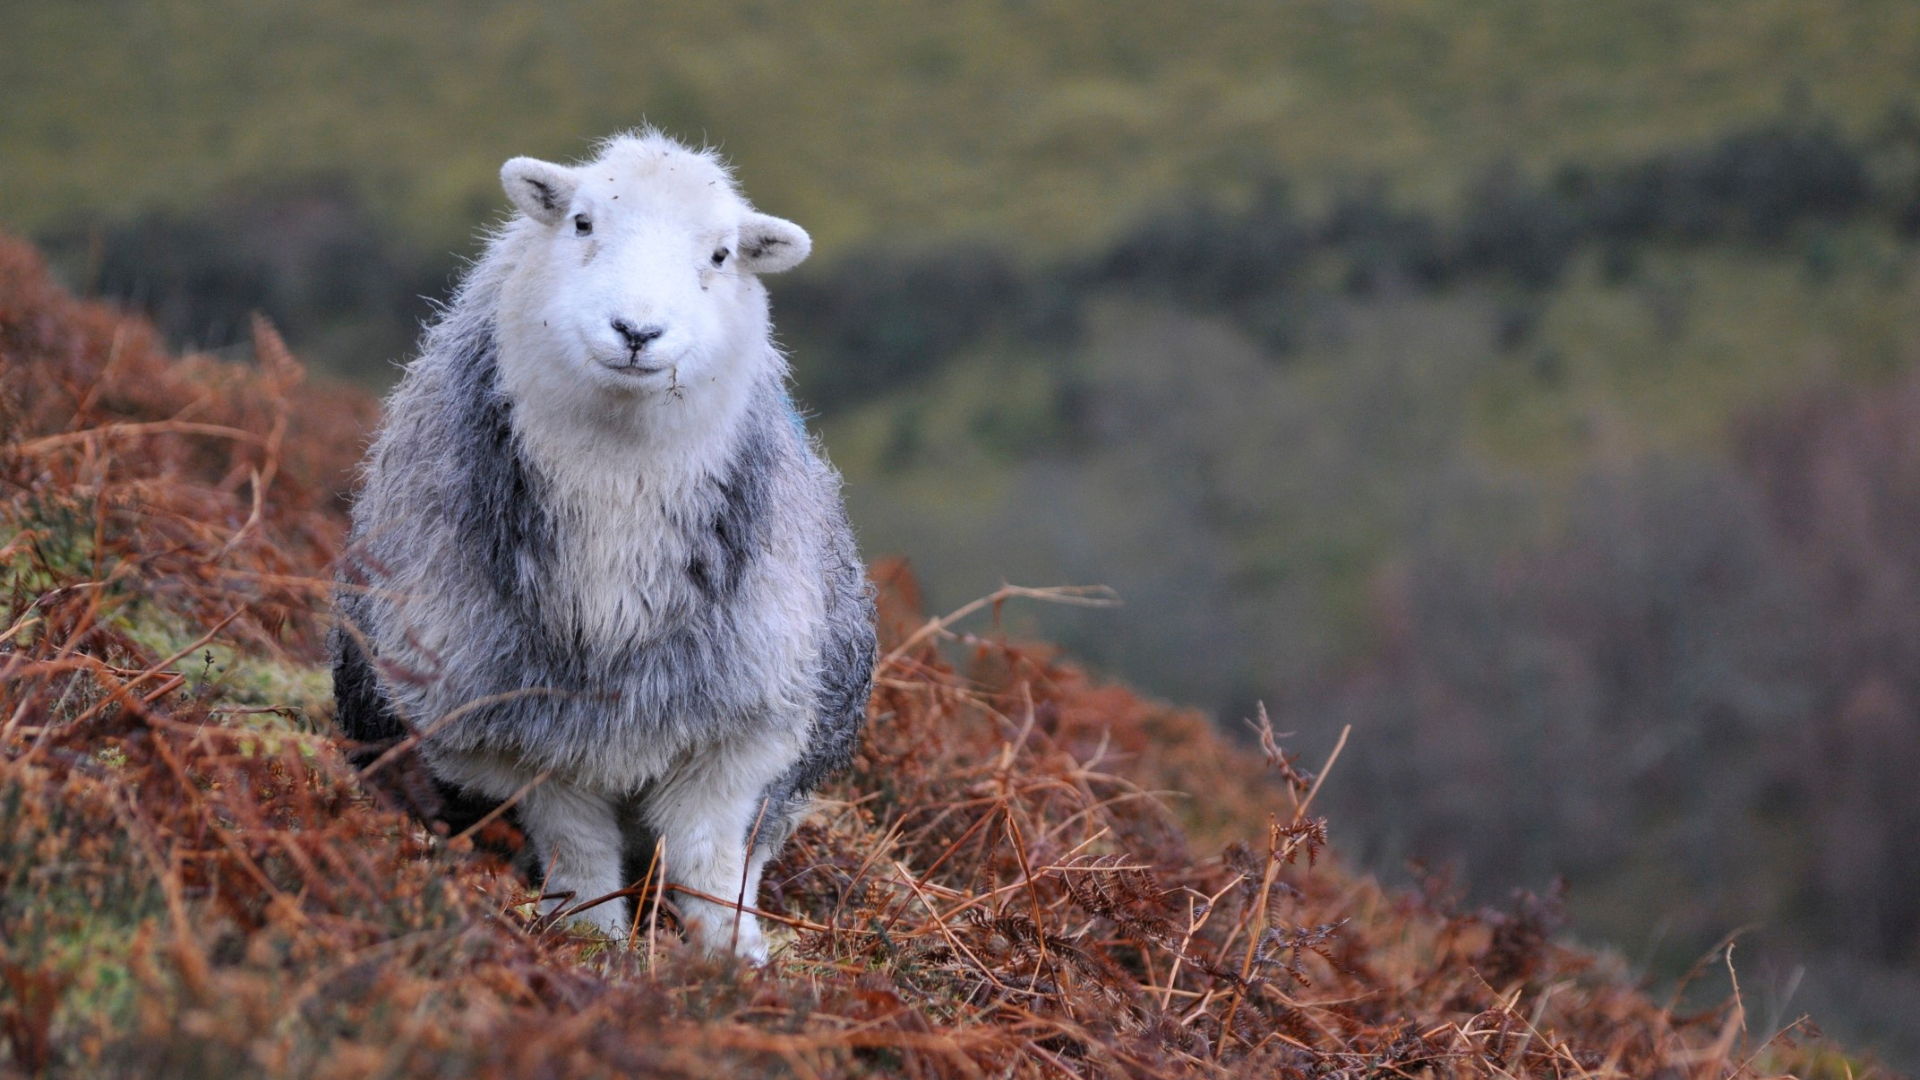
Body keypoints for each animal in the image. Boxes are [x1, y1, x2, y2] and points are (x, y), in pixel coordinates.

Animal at [332, 130, 875, 961]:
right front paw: (591, 941)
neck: (618, 506)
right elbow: (579, 850)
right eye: (582, 222)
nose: (637, 332)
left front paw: (733, 960)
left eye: (721, 254)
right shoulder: (519, 736)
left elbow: (710, 858)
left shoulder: (738, 722)